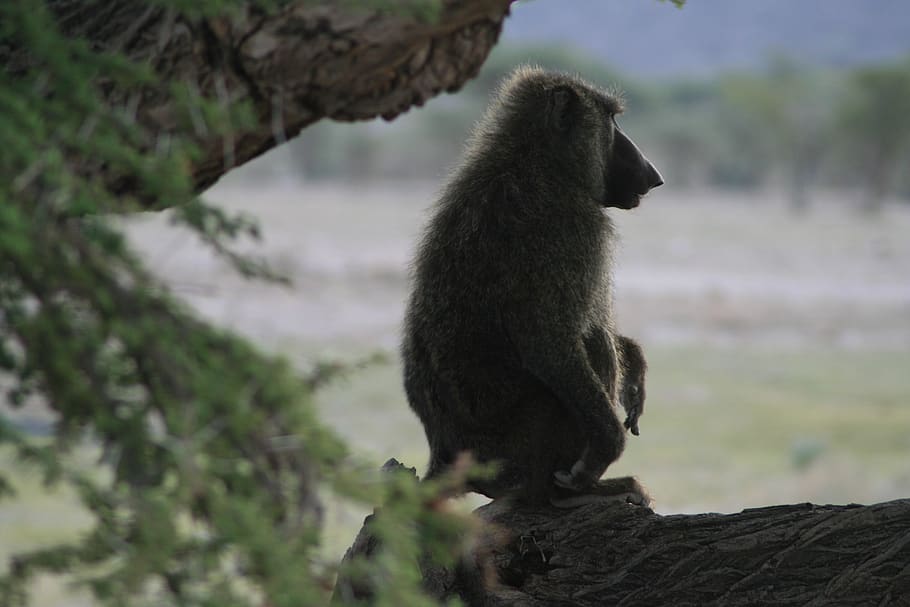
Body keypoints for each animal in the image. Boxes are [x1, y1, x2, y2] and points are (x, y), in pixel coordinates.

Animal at [401, 66, 662, 506]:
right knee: (589, 342)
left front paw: (635, 362)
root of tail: (446, 453)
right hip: (518, 448)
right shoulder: (574, 227)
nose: (655, 175)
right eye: (611, 119)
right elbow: (547, 341)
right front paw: (604, 451)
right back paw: (578, 492)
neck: (535, 160)